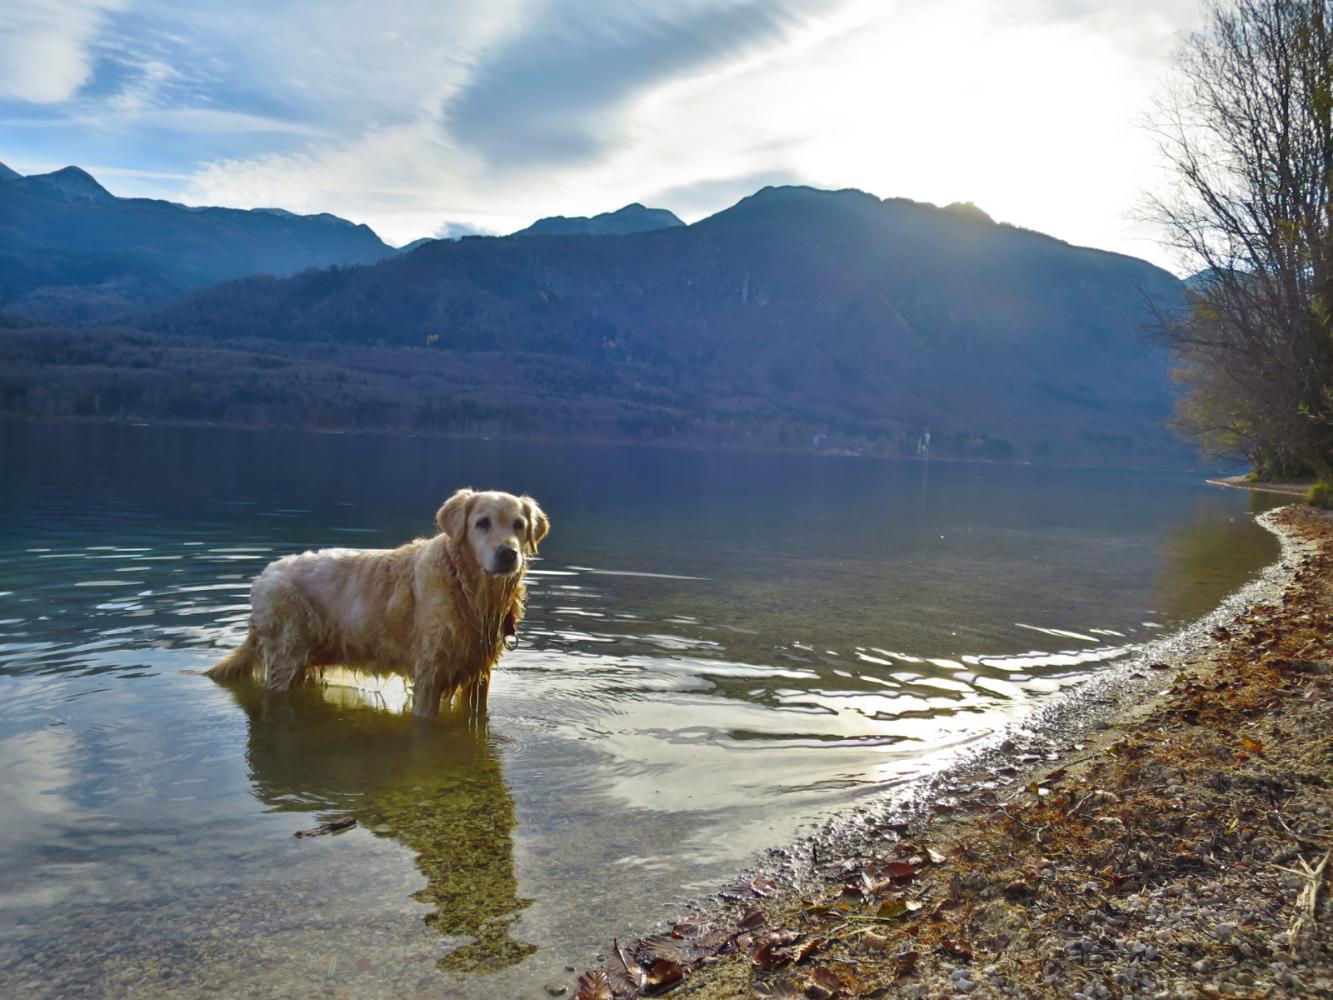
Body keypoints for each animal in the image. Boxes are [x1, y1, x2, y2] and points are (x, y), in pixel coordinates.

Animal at [202, 490, 546, 714]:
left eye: (519, 525)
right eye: (482, 523)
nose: (507, 554)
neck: (467, 588)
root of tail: (264, 576)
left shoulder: (479, 675)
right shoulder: (430, 674)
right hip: (286, 657)